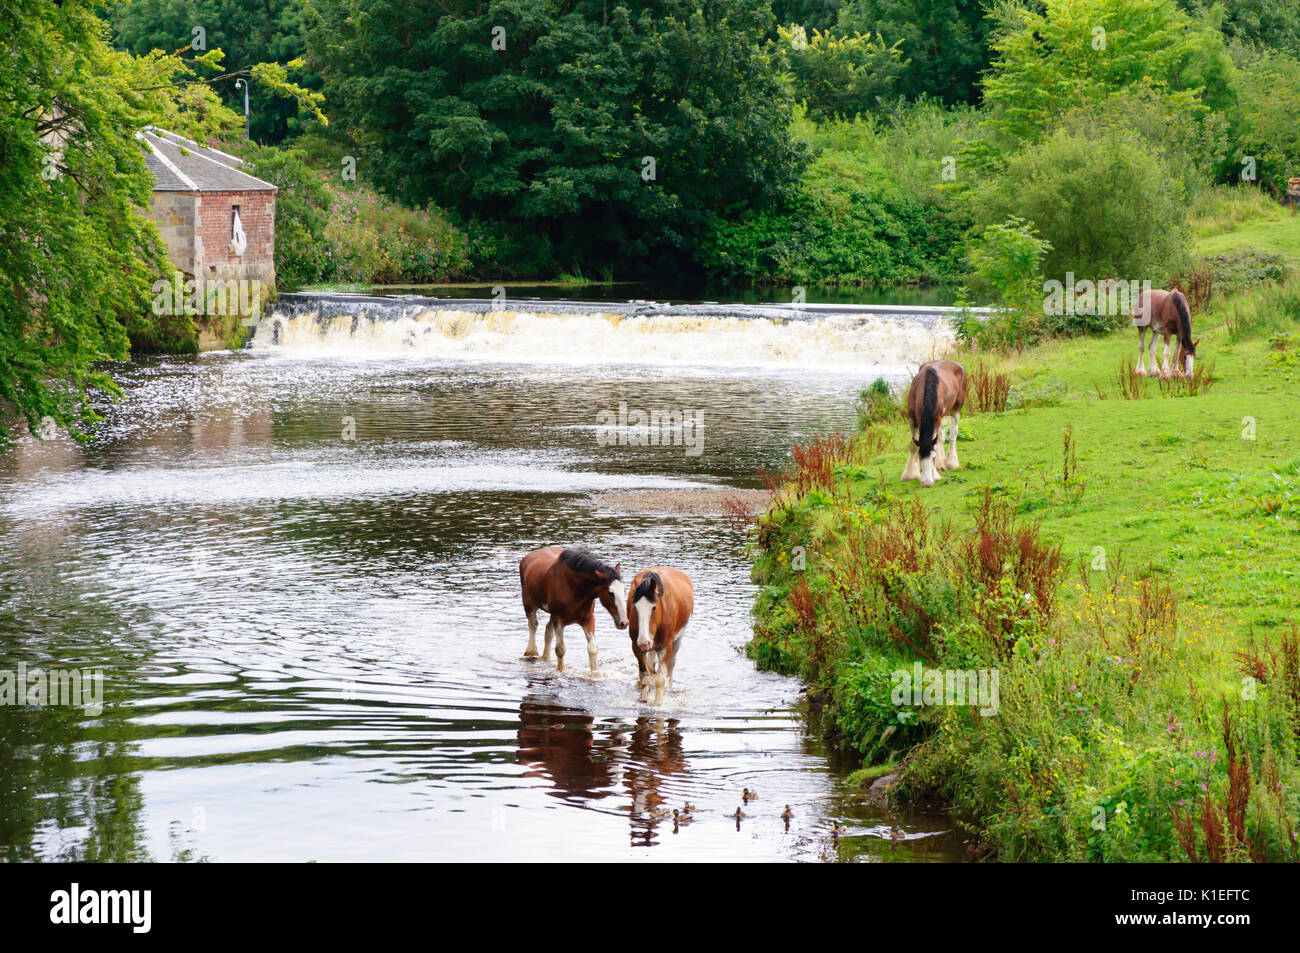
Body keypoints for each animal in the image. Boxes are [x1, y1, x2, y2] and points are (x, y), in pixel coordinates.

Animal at [626, 567, 694, 706]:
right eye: (635, 607)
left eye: (654, 607)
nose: (644, 642)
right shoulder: (636, 647)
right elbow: (644, 675)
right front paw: (644, 698)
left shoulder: (665, 647)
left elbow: (660, 678)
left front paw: (658, 702)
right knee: (651, 664)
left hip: (677, 640)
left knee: (671, 666)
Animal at [901, 360, 966, 488]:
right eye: (920, 457)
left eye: (933, 458)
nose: (927, 483)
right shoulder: (912, 418)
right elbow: (913, 445)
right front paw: (909, 474)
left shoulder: (935, 419)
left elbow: (934, 444)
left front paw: (935, 474)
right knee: (941, 436)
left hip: (956, 408)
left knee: (953, 433)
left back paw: (951, 462)